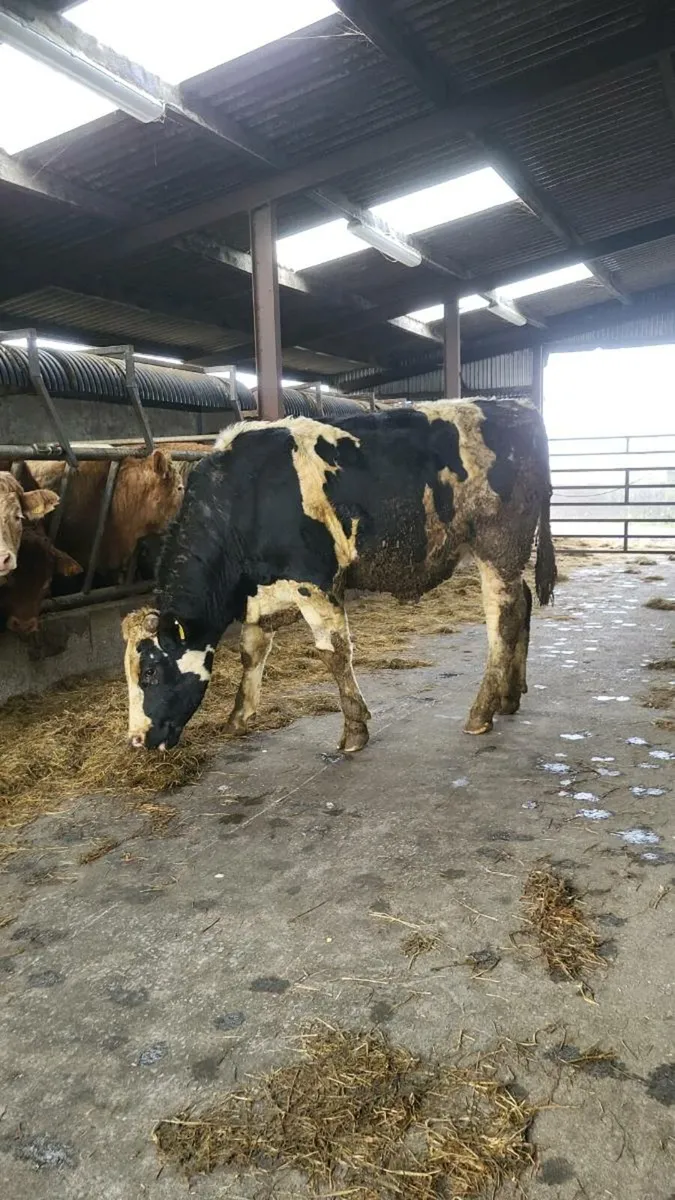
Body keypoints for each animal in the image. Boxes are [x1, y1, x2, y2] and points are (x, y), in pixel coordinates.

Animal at [122, 400, 557, 753]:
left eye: (150, 671)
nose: (137, 740)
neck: (243, 499)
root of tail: (517, 407)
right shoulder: (262, 593)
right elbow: (252, 651)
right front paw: (238, 717)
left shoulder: (314, 583)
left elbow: (333, 652)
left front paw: (354, 730)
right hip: (510, 556)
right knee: (523, 603)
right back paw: (510, 696)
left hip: (498, 546)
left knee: (503, 620)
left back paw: (482, 711)